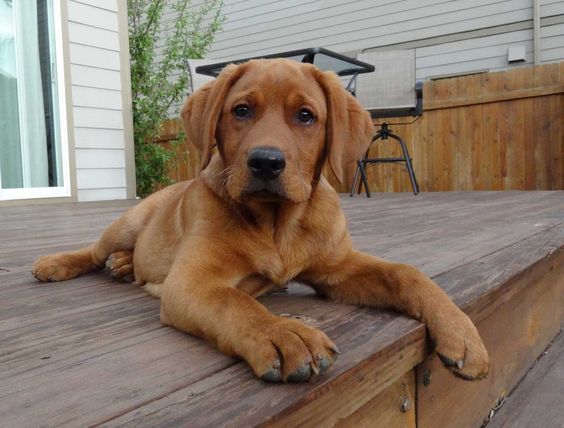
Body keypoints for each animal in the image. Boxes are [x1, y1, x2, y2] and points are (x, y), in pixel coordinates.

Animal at [33, 58, 486, 382]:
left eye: (305, 116)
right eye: (241, 110)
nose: (266, 162)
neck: (276, 223)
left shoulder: (337, 268)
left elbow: (406, 274)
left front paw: (461, 333)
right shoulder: (192, 281)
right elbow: (235, 301)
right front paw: (282, 333)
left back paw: (125, 266)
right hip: (128, 221)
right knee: (94, 250)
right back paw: (58, 263)